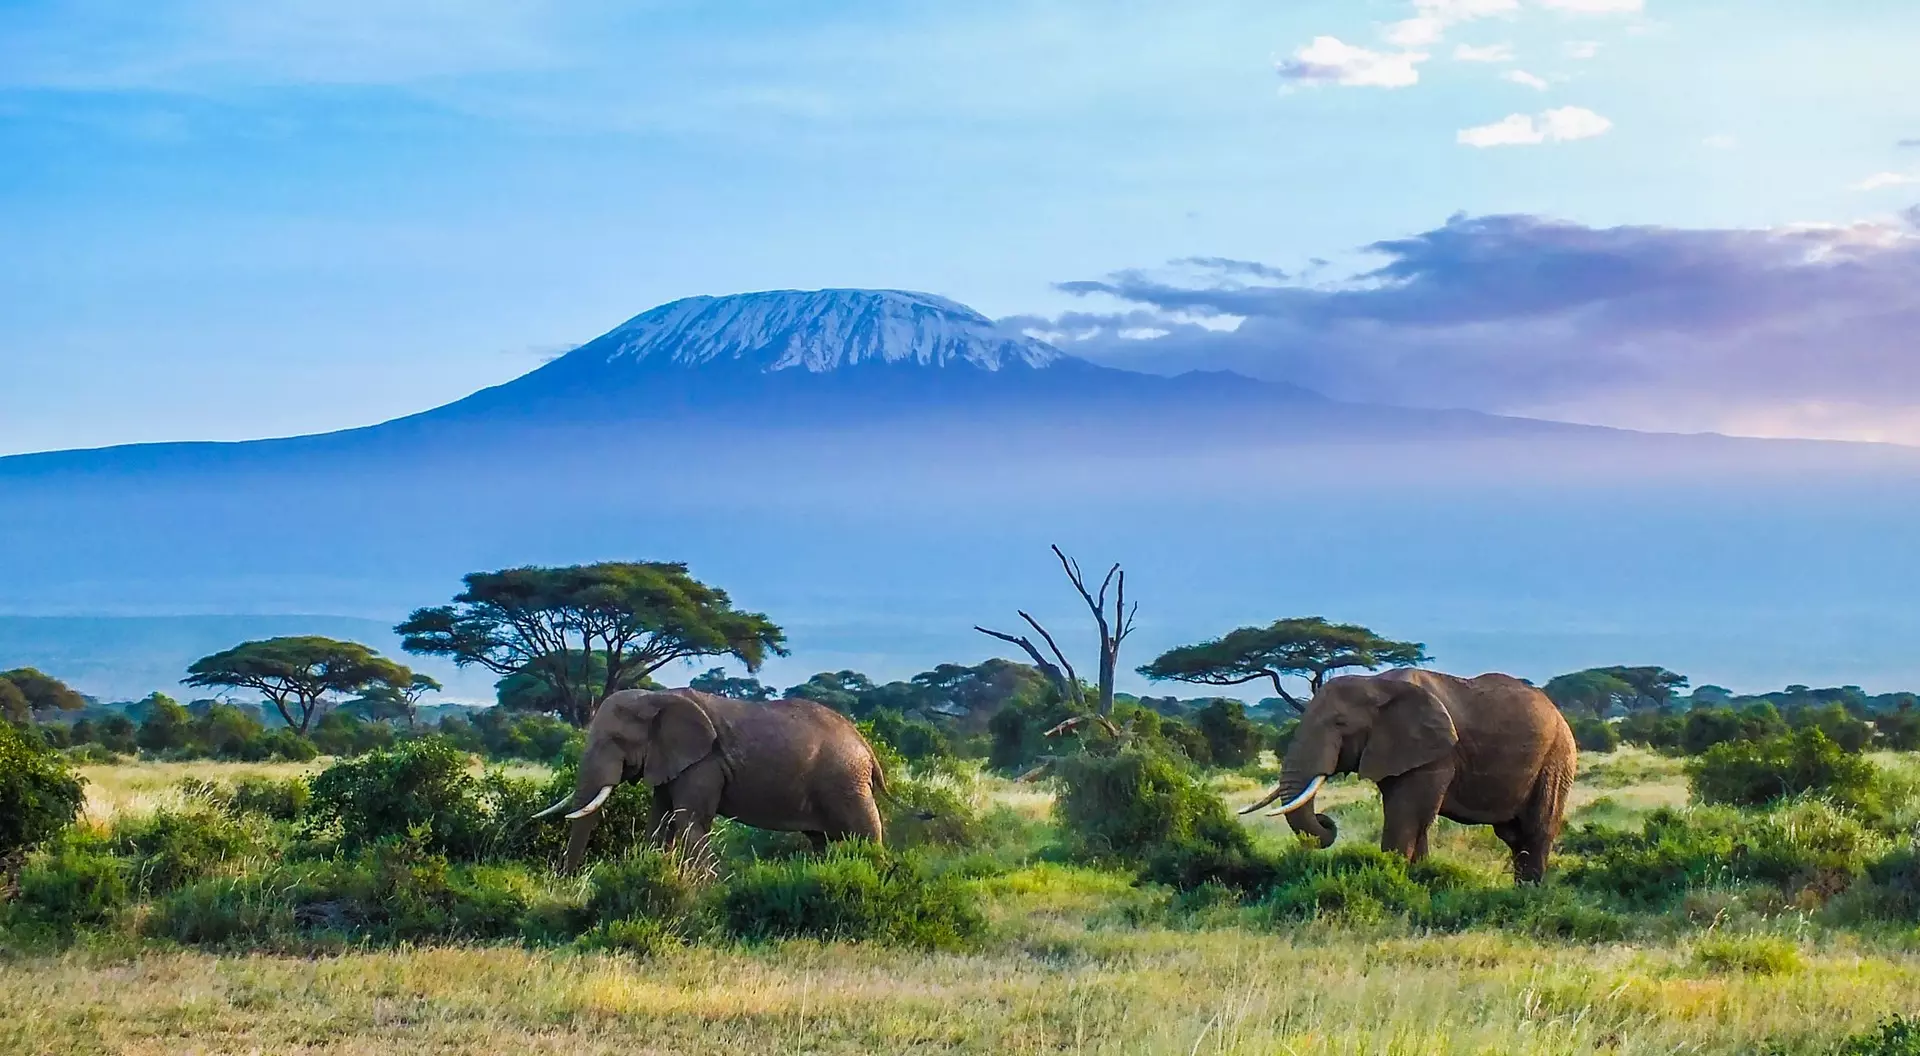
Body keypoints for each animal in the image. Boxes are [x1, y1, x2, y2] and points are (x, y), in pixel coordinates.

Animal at [530, 688, 887, 872]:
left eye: (615, 740)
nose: (567, 879)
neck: (656, 697)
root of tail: (868, 749)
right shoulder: (670, 761)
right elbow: (659, 821)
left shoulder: (704, 764)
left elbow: (690, 821)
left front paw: (703, 887)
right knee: (821, 841)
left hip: (845, 782)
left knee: (865, 834)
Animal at [1243, 668, 1576, 883]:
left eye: (1340, 723)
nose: (1326, 821)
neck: (1376, 684)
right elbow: (1413, 818)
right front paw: (1419, 878)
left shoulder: (1435, 754)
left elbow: (1408, 815)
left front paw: (1393, 876)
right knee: (1513, 836)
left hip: (1556, 759)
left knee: (1536, 830)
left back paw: (1528, 892)